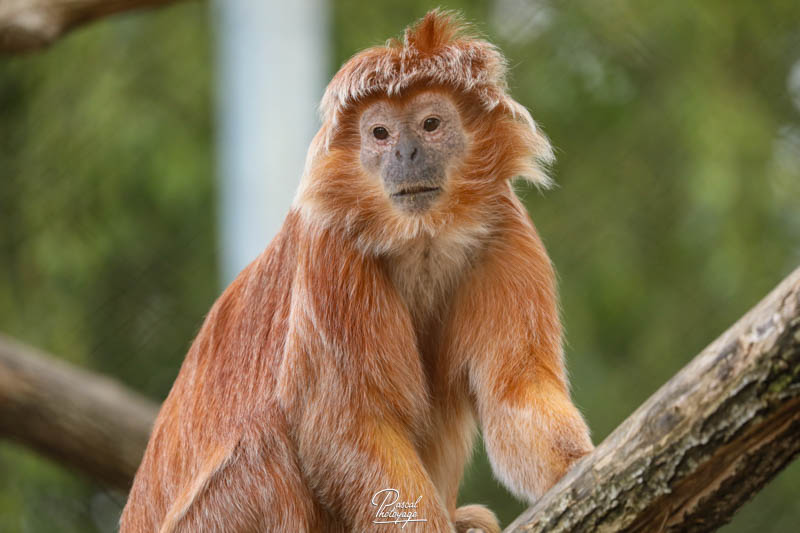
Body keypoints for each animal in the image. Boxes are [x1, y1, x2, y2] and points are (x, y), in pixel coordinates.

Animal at [120, 9, 592, 532]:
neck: (420, 239)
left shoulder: (505, 231)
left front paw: (581, 465)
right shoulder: (332, 248)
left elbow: (516, 393)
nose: (406, 154)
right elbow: (348, 427)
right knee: (267, 443)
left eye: (430, 124)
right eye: (380, 134)